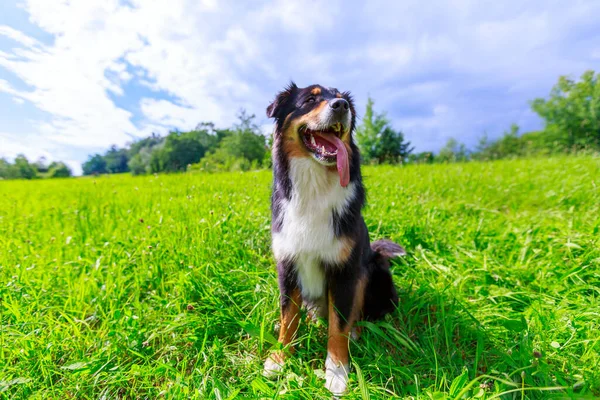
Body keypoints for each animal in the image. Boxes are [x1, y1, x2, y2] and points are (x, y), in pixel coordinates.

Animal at [262, 83, 404, 396]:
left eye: (340, 97)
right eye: (310, 99)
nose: (341, 106)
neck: (315, 185)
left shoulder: (344, 271)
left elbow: (338, 326)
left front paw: (337, 371)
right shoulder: (287, 265)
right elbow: (288, 318)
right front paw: (279, 358)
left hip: (372, 270)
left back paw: (356, 332)